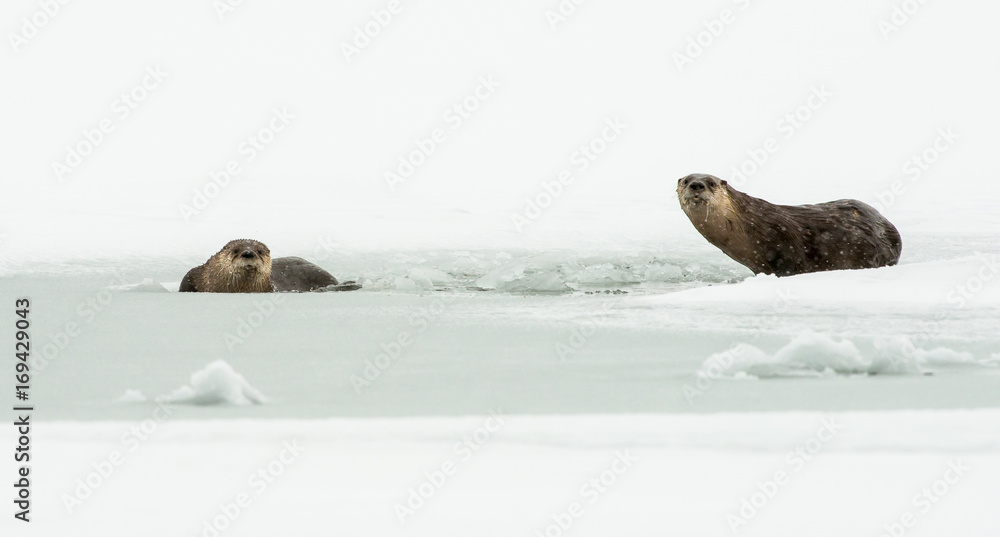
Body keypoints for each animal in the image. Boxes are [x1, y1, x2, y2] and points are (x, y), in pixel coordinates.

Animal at [676, 174, 902, 276]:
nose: (697, 185)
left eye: (711, 183)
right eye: (686, 180)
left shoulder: (785, 251)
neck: (751, 224)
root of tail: (892, 230)